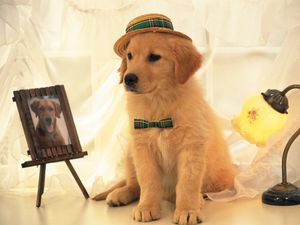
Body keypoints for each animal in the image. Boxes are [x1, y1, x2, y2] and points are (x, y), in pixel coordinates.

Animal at [94, 32, 237, 225]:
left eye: (154, 57)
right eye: (130, 56)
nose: (128, 78)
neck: (159, 102)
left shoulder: (191, 147)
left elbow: (187, 183)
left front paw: (187, 210)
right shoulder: (142, 147)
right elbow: (148, 181)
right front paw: (146, 207)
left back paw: (195, 199)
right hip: (130, 154)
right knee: (134, 184)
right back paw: (120, 194)